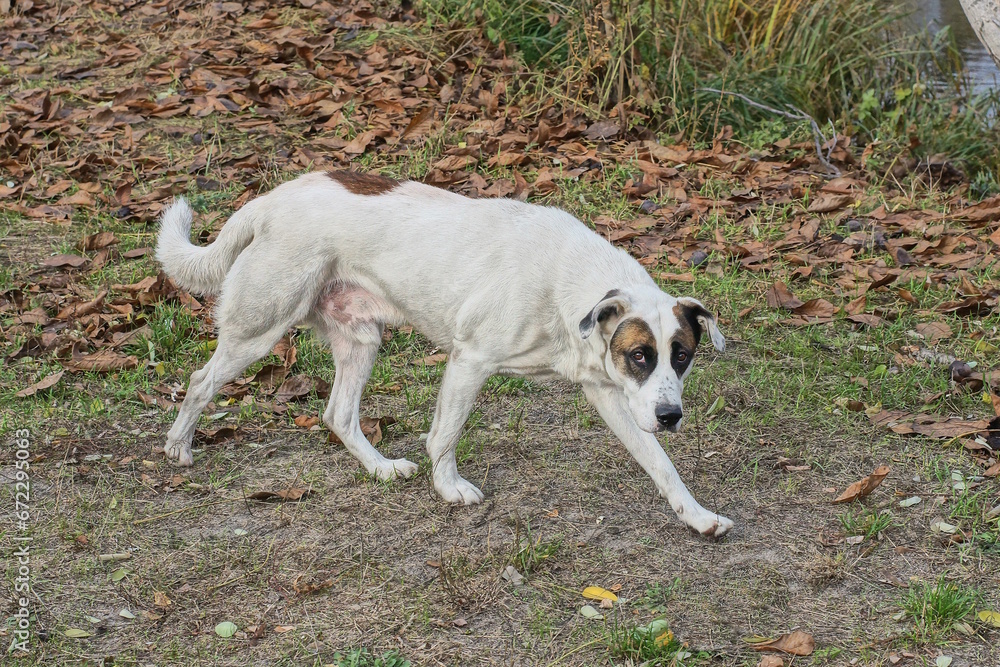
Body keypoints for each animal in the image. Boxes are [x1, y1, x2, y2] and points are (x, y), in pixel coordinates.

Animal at [158, 171, 736, 536]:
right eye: (640, 355)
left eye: (680, 356)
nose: (672, 416)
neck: (570, 286)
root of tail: (270, 200)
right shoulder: (470, 361)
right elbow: (445, 435)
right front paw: (450, 489)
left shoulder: (611, 394)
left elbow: (661, 464)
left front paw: (697, 516)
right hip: (259, 327)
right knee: (201, 381)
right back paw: (178, 447)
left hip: (361, 339)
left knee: (338, 414)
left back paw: (381, 468)